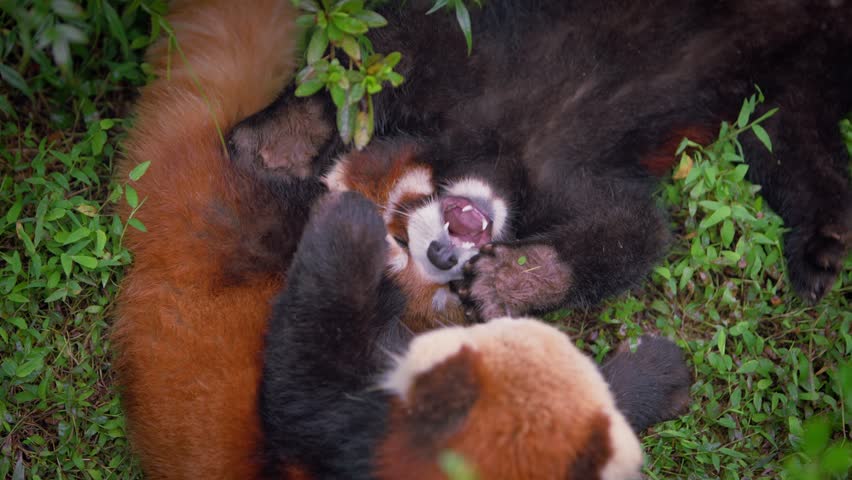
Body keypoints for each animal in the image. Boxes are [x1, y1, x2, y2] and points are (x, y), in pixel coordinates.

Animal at [229, 0, 852, 324]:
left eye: (404, 215)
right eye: (402, 248)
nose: (440, 253)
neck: (502, 152)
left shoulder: (469, 53)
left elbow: (379, 49)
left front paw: (284, 135)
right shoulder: (566, 176)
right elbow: (635, 231)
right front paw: (515, 282)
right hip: (792, 75)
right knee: (794, 139)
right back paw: (823, 247)